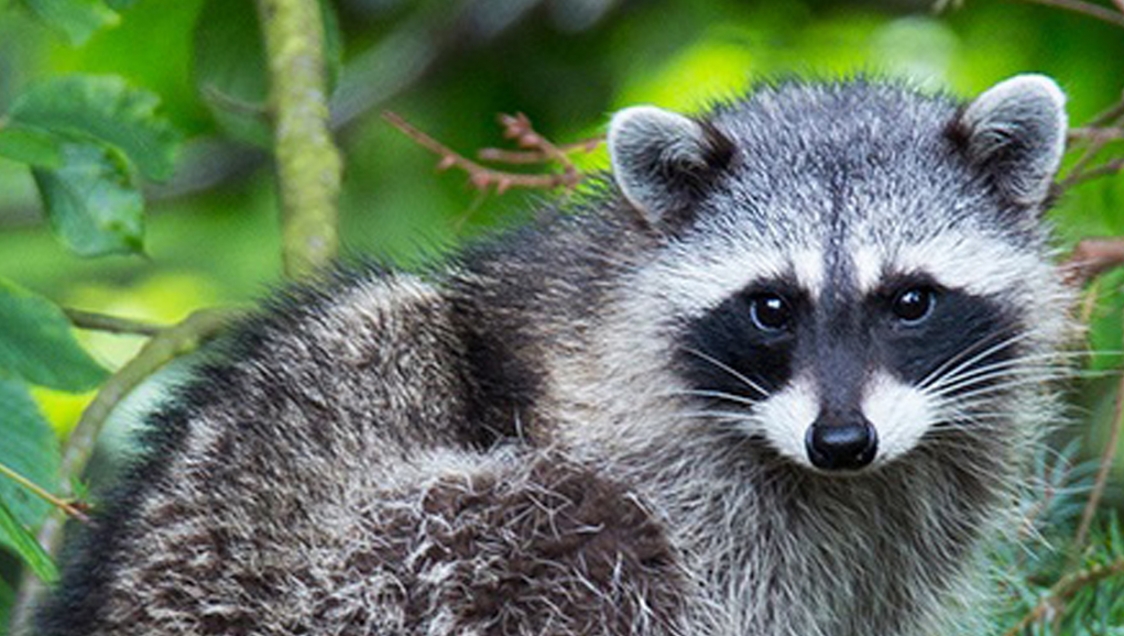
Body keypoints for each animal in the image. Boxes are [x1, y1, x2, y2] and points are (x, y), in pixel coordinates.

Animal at [35, 74, 1070, 636]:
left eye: (911, 301)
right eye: (772, 307)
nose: (843, 440)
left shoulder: (899, 521)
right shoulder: (673, 478)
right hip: (343, 577)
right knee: (581, 529)